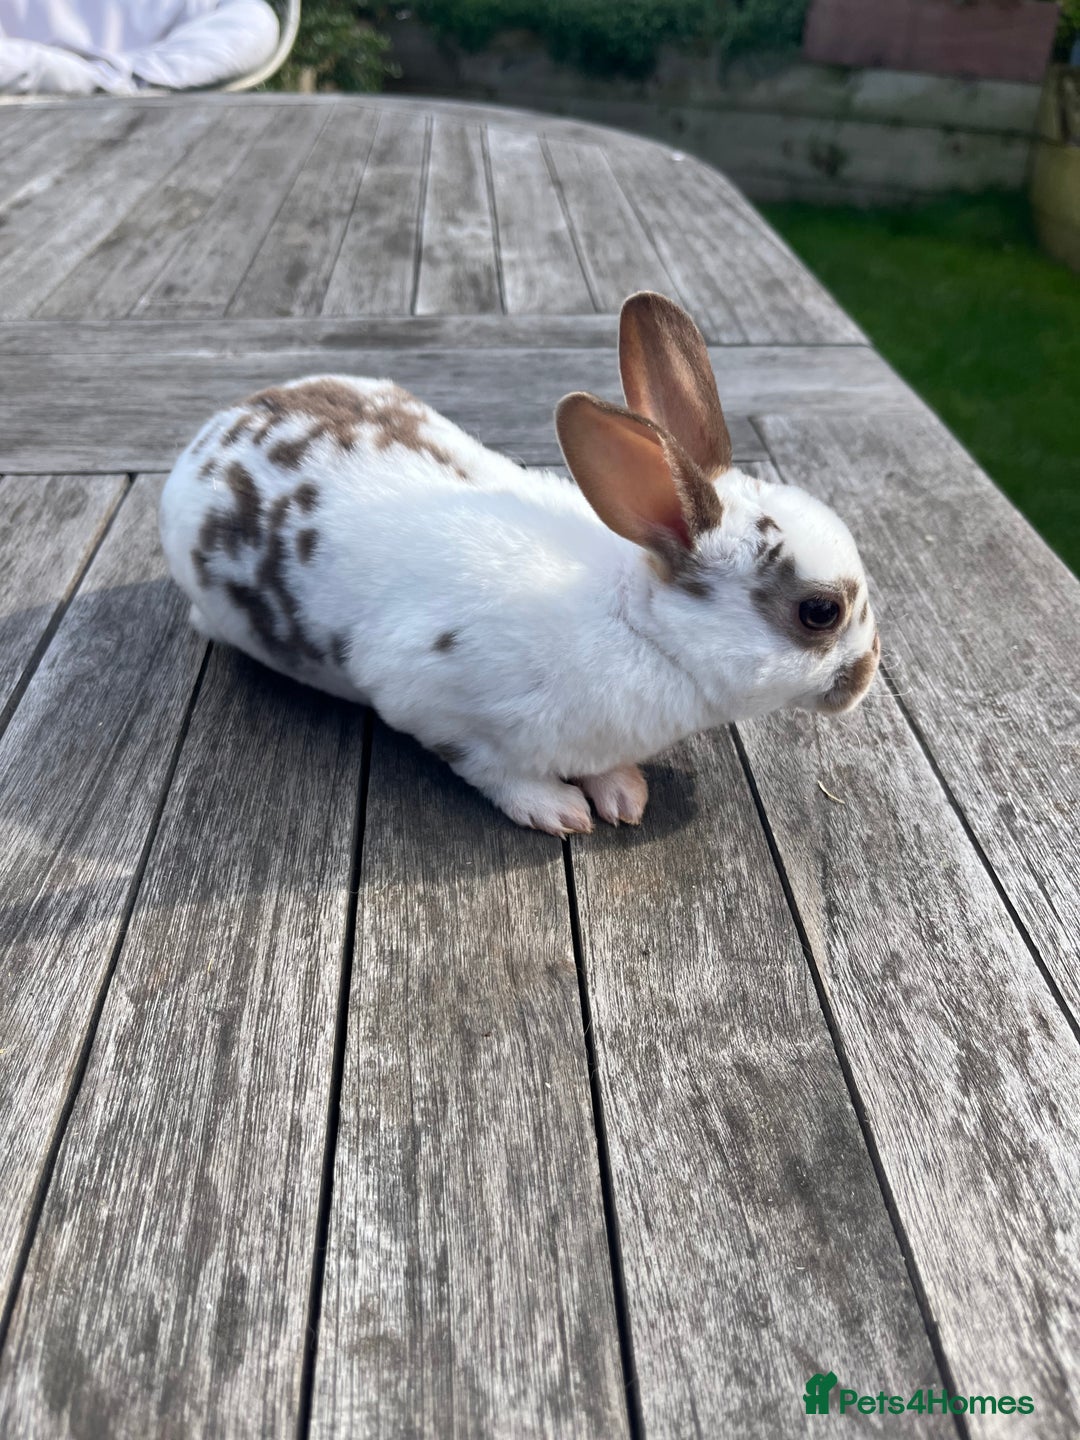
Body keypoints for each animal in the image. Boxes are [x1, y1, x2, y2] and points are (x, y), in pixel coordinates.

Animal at [159, 291, 879, 837]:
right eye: (820, 612)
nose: (867, 677)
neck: (640, 630)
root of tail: (212, 430)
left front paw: (624, 796)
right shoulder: (434, 703)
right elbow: (493, 769)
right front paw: (559, 812)